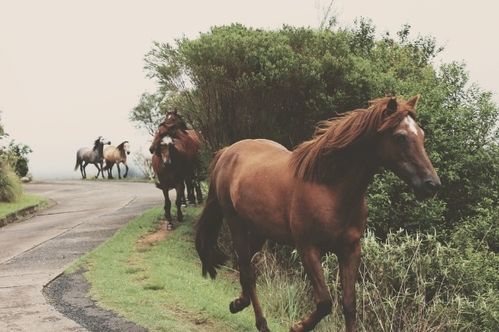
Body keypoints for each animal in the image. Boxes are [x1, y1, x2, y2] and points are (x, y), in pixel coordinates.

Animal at [195, 96, 442, 332]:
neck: (329, 188)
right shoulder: (308, 249)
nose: (432, 185)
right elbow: (325, 302)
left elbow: (349, 304)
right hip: (235, 222)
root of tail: (228, 151)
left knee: (247, 267)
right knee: (247, 270)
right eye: (400, 137)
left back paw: (239, 303)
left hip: (260, 230)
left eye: (421, 135)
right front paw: (297, 326)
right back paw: (261, 322)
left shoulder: (350, 250)